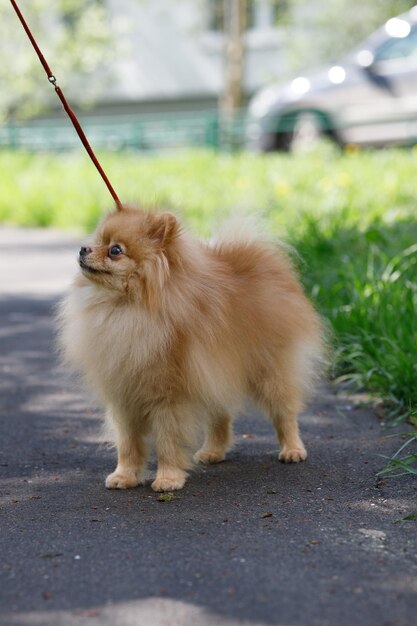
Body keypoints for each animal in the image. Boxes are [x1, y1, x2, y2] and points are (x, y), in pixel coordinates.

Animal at [57, 207, 324, 490]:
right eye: (97, 240)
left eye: (115, 250)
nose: (83, 248)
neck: (124, 308)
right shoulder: (124, 394)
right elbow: (128, 443)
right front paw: (124, 476)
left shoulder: (168, 396)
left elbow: (167, 441)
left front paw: (168, 478)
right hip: (216, 373)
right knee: (221, 416)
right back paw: (213, 451)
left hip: (271, 371)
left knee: (284, 412)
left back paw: (292, 450)